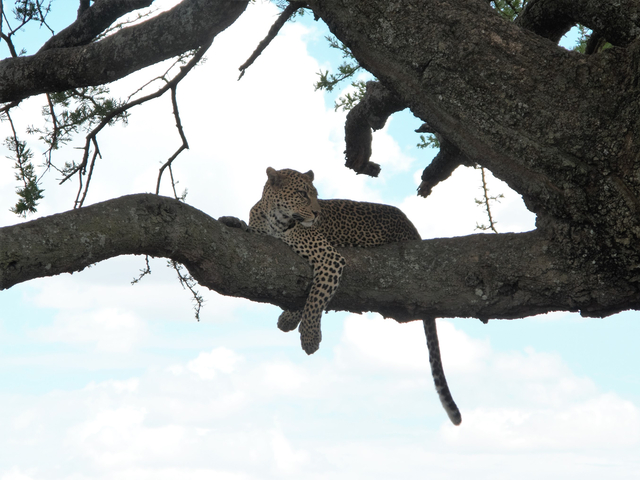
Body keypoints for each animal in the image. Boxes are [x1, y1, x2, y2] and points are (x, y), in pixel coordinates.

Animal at [245, 167, 461, 425]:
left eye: (316, 195)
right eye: (302, 194)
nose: (317, 213)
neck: (274, 220)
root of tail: (411, 228)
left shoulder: (330, 258)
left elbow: (316, 297)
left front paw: (310, 337)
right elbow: (310, 294)